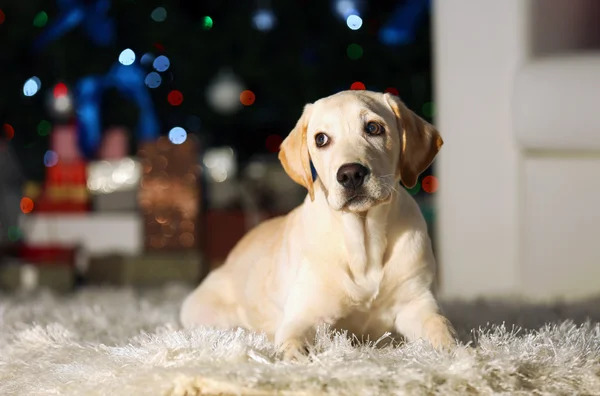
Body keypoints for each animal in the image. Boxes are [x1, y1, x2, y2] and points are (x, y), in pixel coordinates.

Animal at [180, 89, 458, 358]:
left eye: (373, 128)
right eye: (321, 139)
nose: (350, 174)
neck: (364, 241)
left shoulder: (417, 302)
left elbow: (440, 325)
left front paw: (455, 352)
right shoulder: (304, 314)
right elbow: (291, 339)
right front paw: (294, 357)